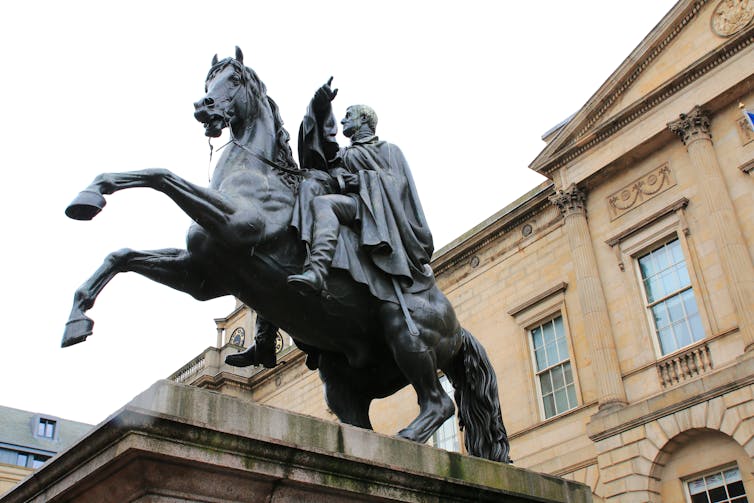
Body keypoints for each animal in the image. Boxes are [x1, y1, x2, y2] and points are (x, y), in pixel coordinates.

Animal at [64, 48, 512, 464]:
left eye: (234, 78)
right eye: (209, 78)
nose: (202, 106)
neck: (257, 170)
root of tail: (459, 329)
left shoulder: (237, 223)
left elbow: (161, 174)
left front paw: (91, 195)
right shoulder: (202, 275)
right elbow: (121, 254)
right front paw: (77, 315)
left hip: (405, 331)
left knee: (439, 401)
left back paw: (406, 441)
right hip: (343, 379)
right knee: (360, 422)